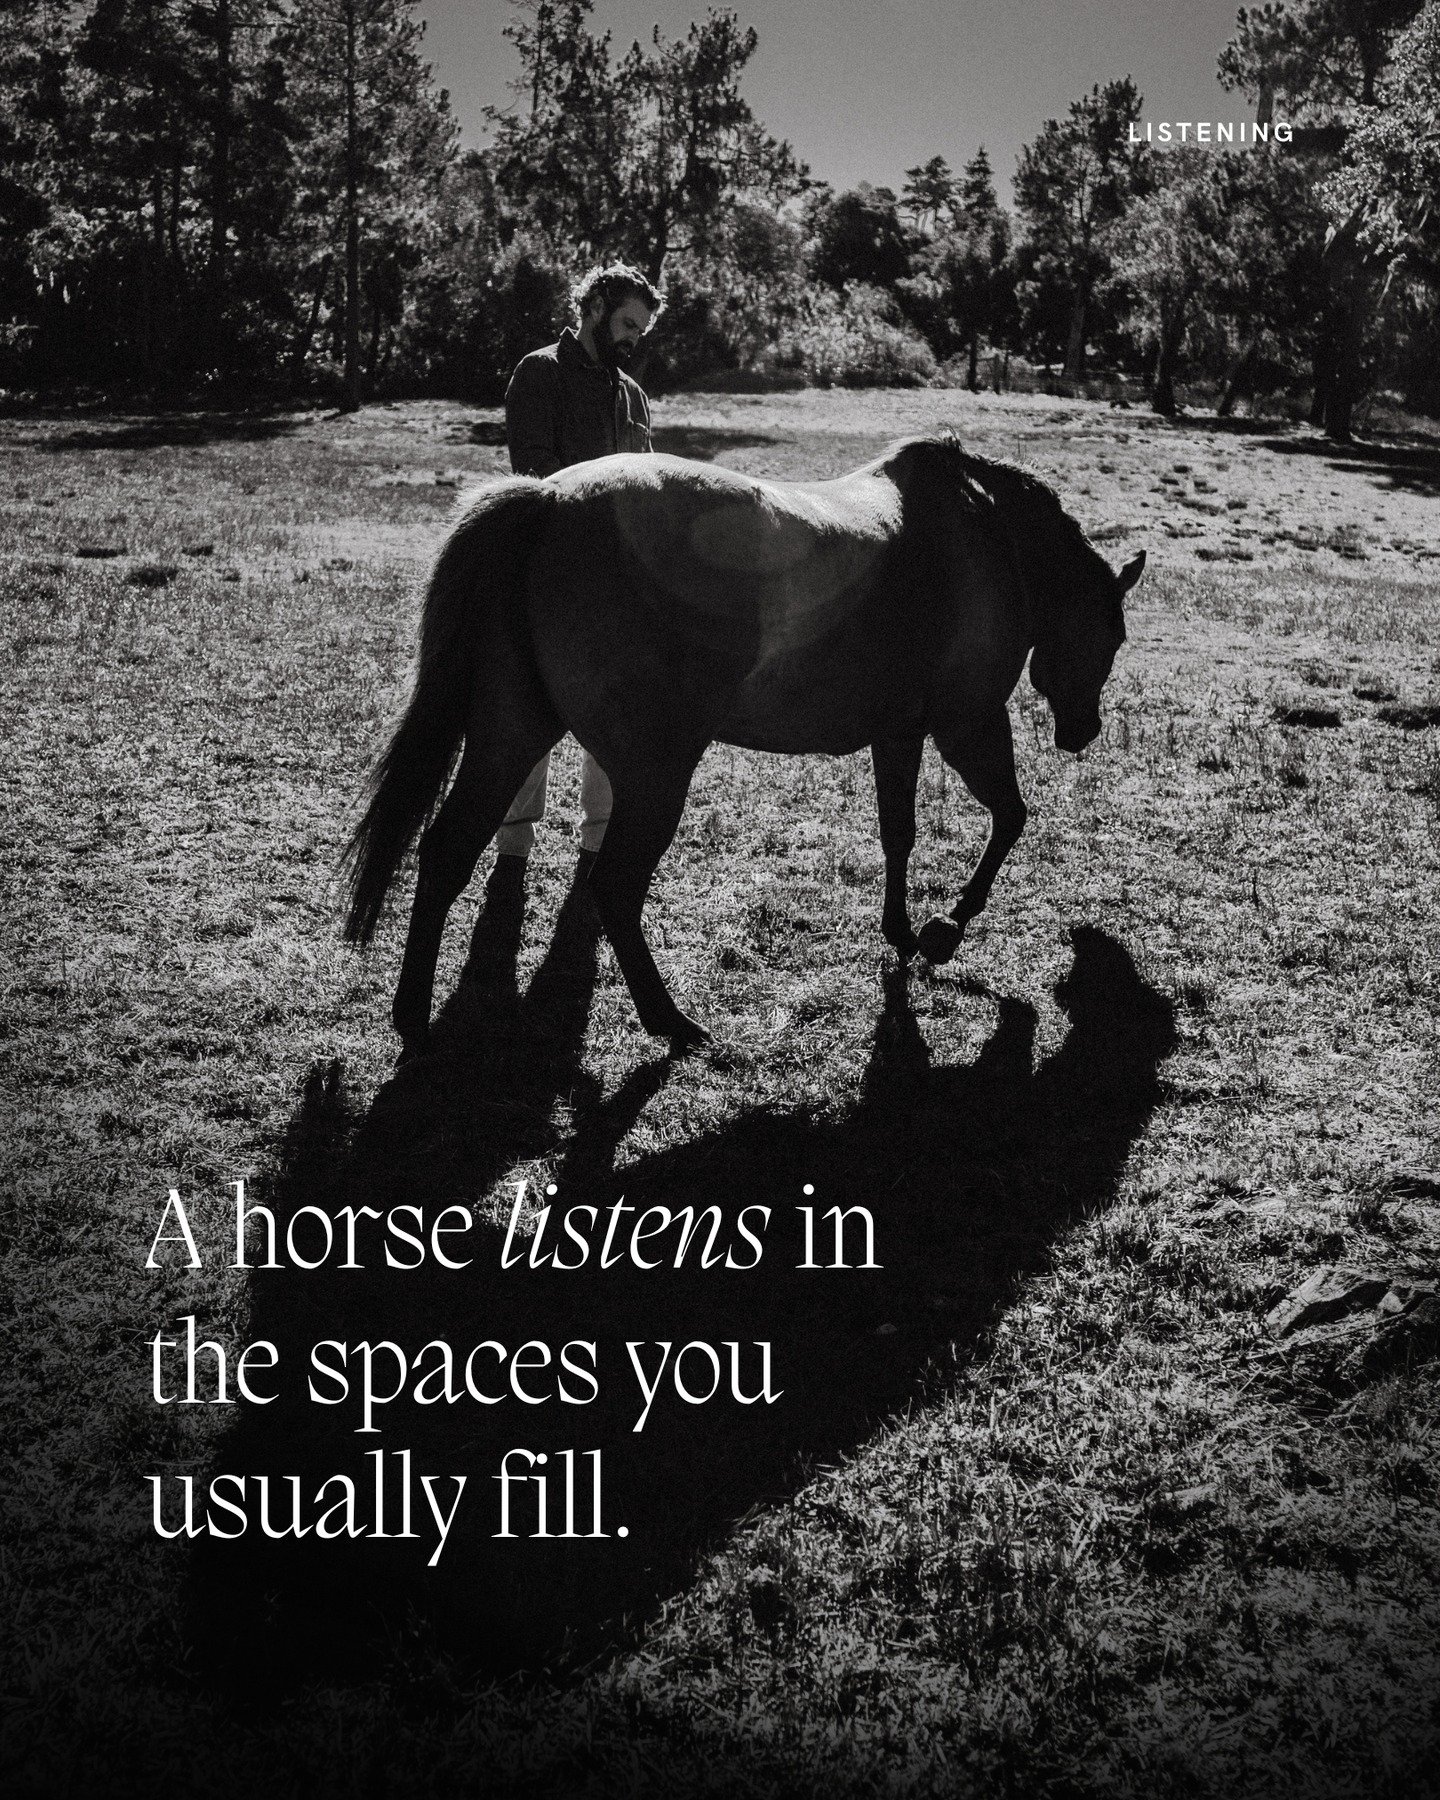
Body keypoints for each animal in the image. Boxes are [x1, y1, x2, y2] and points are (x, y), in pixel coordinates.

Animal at [343, 433, 1144, 1050]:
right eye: (1113, 634)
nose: (1083, 731)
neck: (986, 535)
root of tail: (544, 500)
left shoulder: (899, 734)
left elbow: (899, 832)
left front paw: (902, 931)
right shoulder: (967, 725)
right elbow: (1010, 819)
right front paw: (945, 928)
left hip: (510, 737)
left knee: (447, 852)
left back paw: (412, 1017)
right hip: (652, 773)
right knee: (614, 887)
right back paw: (670, 1022)